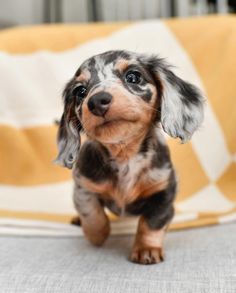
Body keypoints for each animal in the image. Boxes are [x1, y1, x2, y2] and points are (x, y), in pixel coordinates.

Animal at [54, 50, 204, 264]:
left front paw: (147, 249)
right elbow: (91, 212)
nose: (97, 101)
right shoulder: (83, 185)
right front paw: (96, 234)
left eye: (133, 77)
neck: (124, 155)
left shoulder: (164, 193)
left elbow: (152, 223)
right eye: (80, 91)